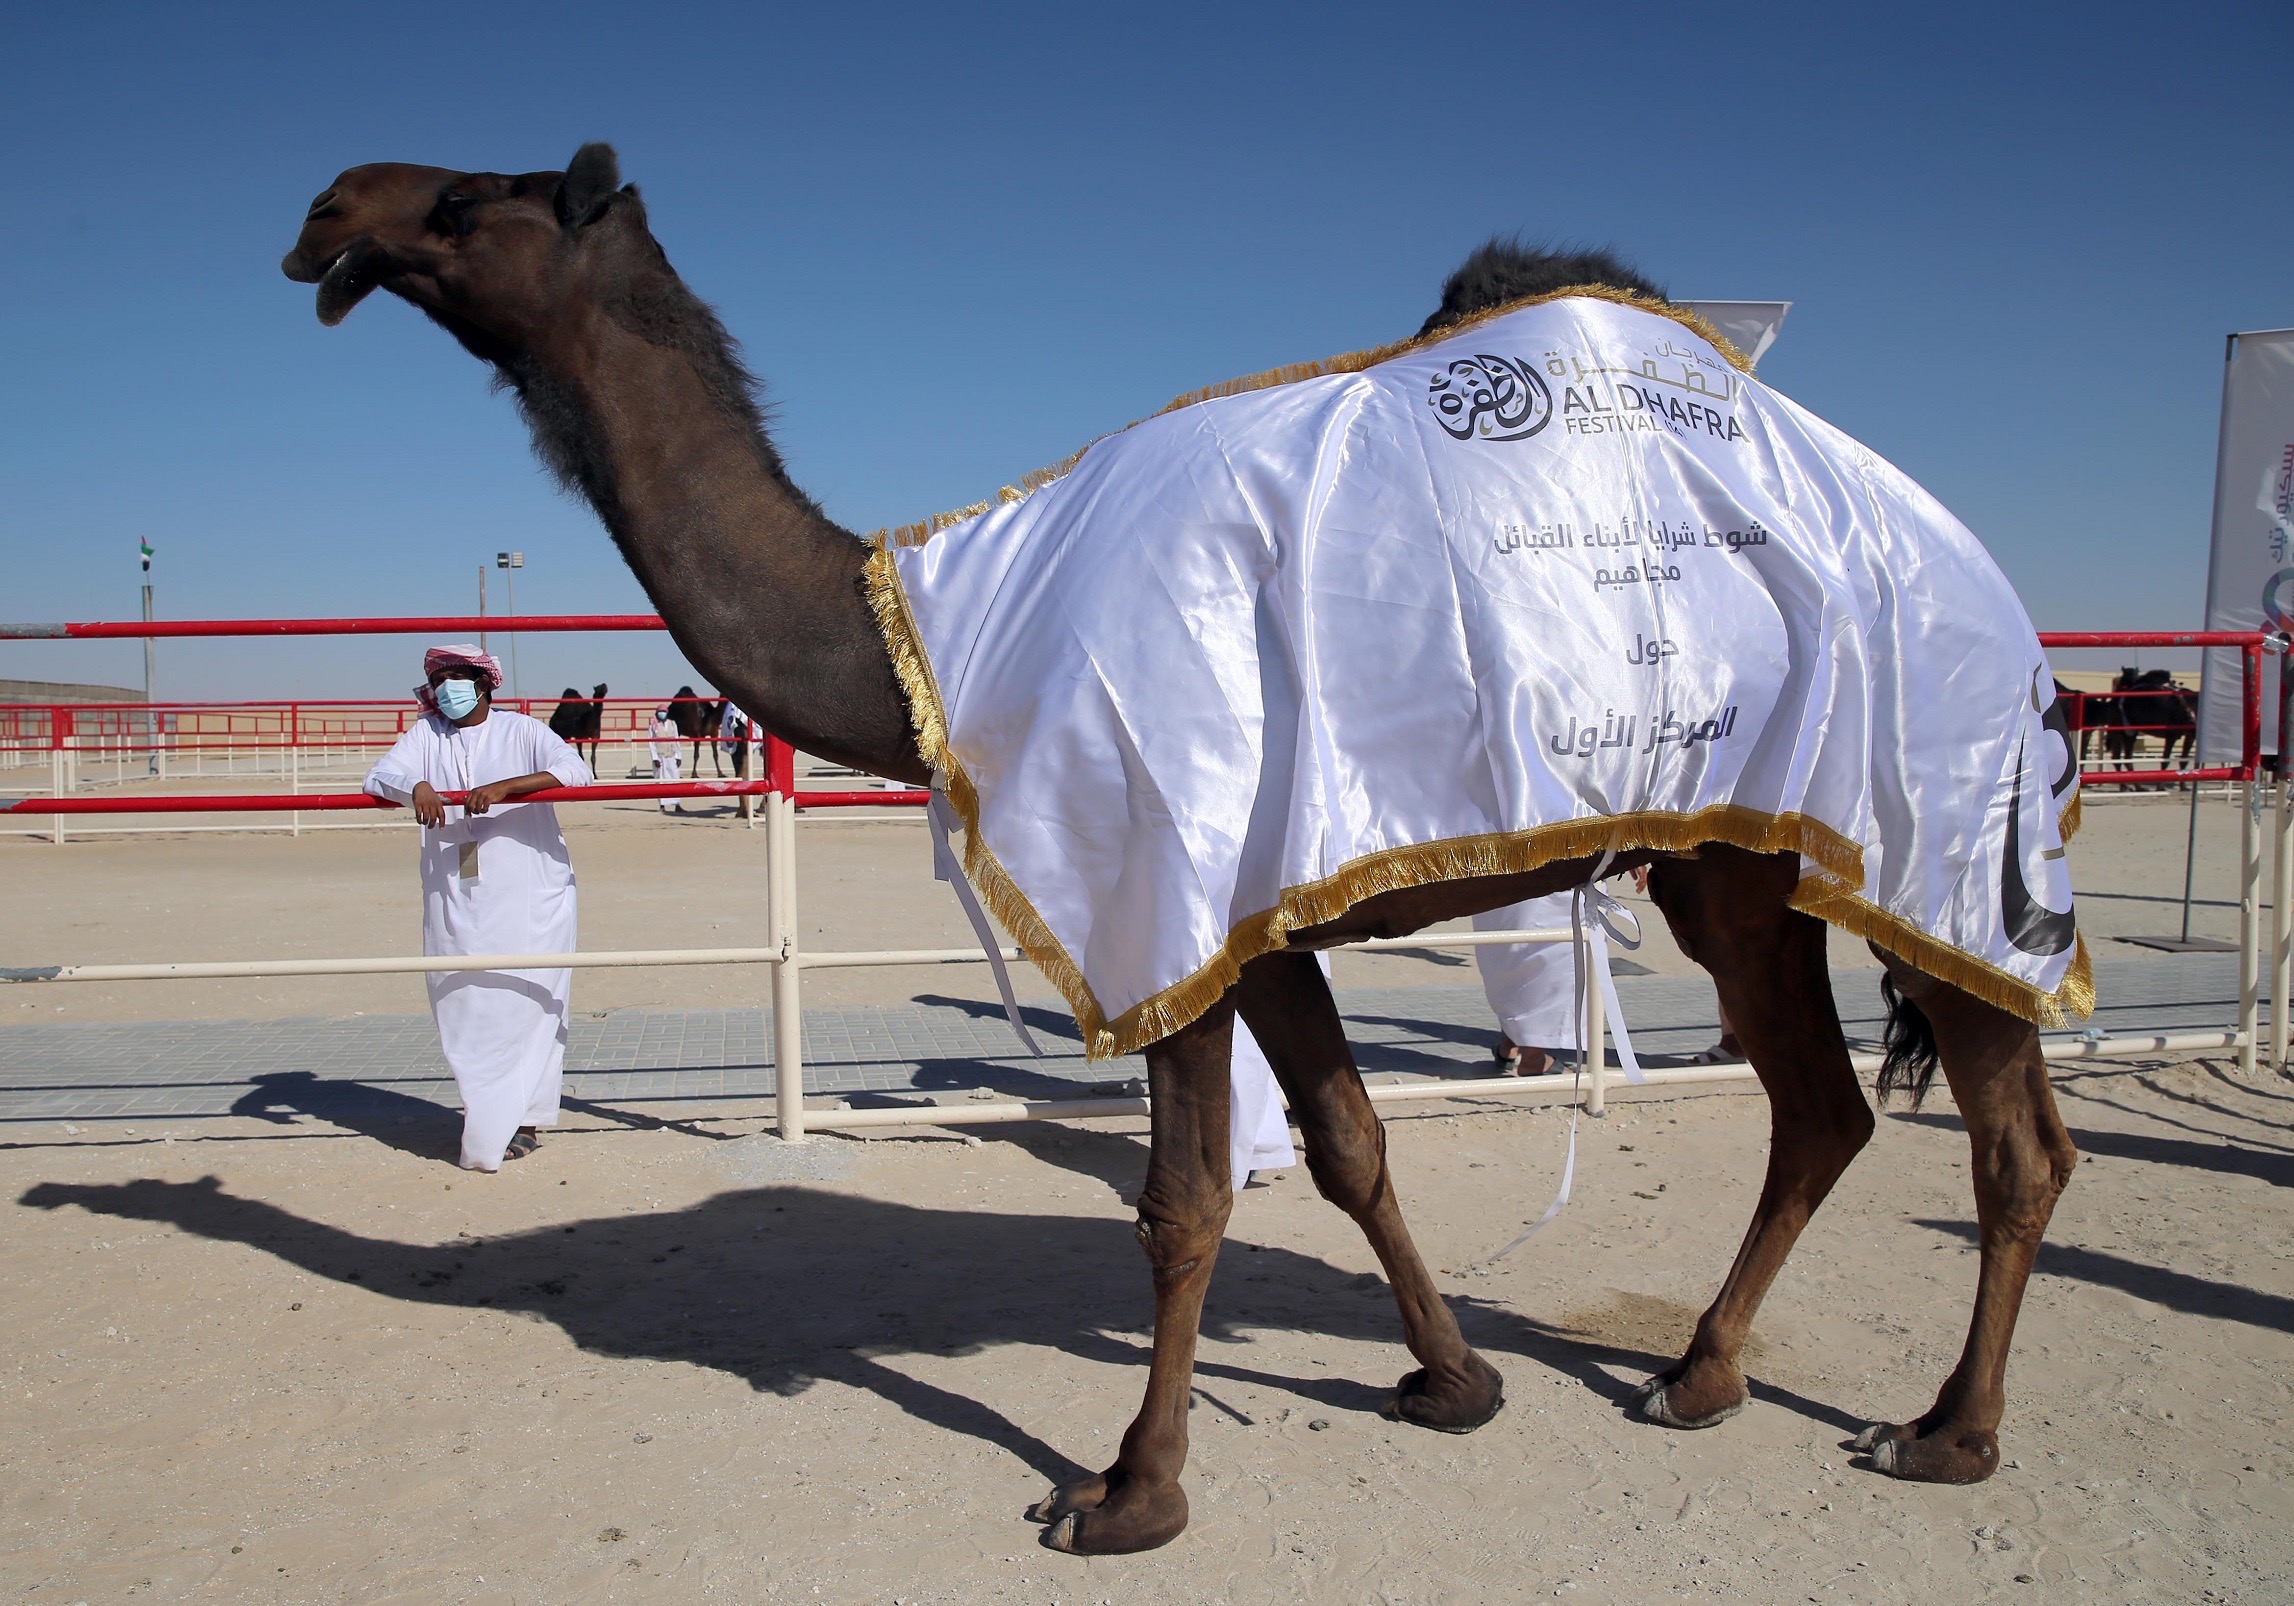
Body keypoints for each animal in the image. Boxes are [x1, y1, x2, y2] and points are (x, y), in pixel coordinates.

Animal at [282, 147, 2082, 1560]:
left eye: (464, 199)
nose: (325, 207)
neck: (938, 620)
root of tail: (2000, 592)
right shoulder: (1259, 910)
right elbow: (1350, 1147)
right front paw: (1454, 1380)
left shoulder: (1162, 886)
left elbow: (1183, 1199)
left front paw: (1126, 1489)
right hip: (1739, 869)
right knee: (1823, 1103)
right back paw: (1699, 1375)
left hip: (1931, 828)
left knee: (2006, 1141)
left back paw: (1942, 1431)